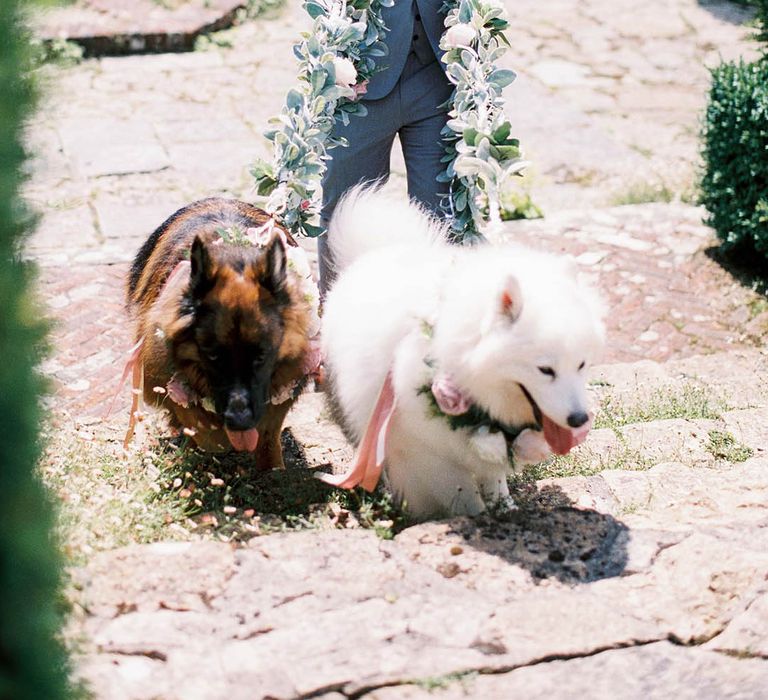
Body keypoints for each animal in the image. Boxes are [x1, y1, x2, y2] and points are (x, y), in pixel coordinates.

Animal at [126, 197, 312, 470]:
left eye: (261, 356)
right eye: (213, 356)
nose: (239, 421)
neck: (235, 256)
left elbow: (268, 432)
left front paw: (272, 467)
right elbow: (204, 430)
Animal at [320, 187, 608, 520]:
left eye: (581, 365)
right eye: (545, 370)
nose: (578, 419)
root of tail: (376, 251)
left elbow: (493, 473)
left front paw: (504, 506)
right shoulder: (426, 452)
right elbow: (462, 494)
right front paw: (476, 517)